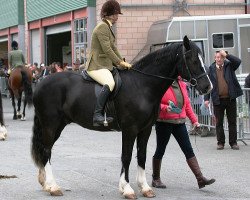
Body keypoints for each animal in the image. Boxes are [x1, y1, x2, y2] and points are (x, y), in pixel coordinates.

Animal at [30, 36, 211, 198]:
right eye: (193, 60)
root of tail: (40, 83)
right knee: (46, 150)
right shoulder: (130, 129)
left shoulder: (145, 129)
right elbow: (127, 156)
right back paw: (53, 187)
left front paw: (145, 188)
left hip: (58, 125)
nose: (208, 87)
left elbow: (142, 155)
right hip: (50, 124)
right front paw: (127, 189)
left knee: (46, 151)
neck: (142, 85)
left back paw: (46, 184)